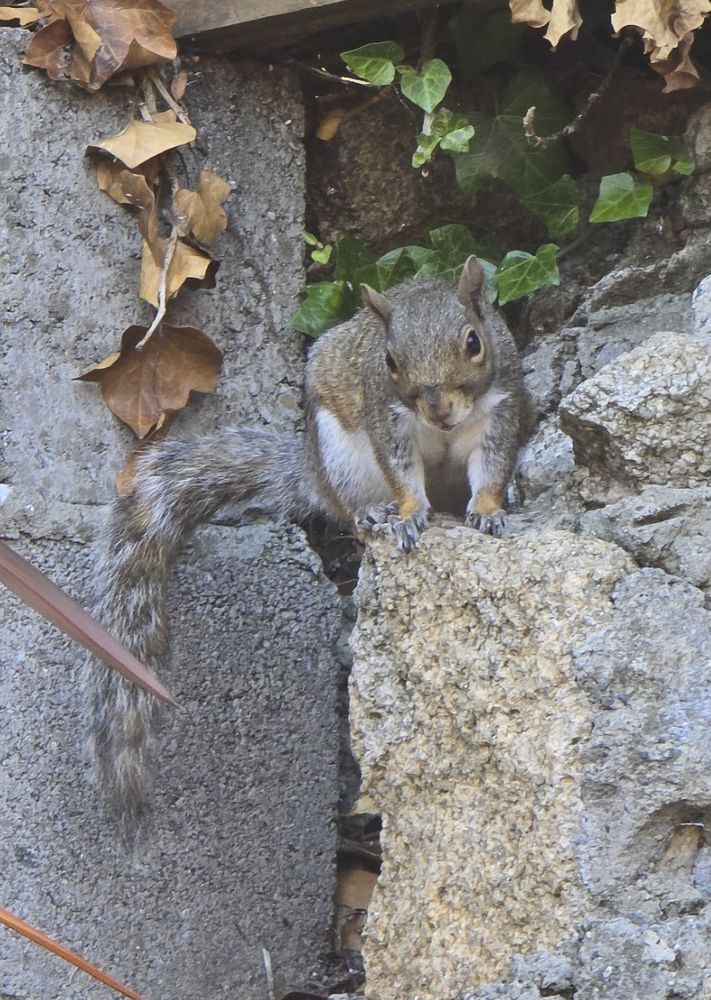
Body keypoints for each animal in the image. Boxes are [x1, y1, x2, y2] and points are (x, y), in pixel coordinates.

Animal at [85, 255, 528, 843]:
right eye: (389, 361)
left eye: (474, 342)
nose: (437, 410)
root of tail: (313, 473)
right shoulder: (386, 420)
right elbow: (403, 473)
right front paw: (410, 513)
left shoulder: (500, 409)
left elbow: (492, 467)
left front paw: (491, 509)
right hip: (344, 459)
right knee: (352, 510)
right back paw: (375, 515)